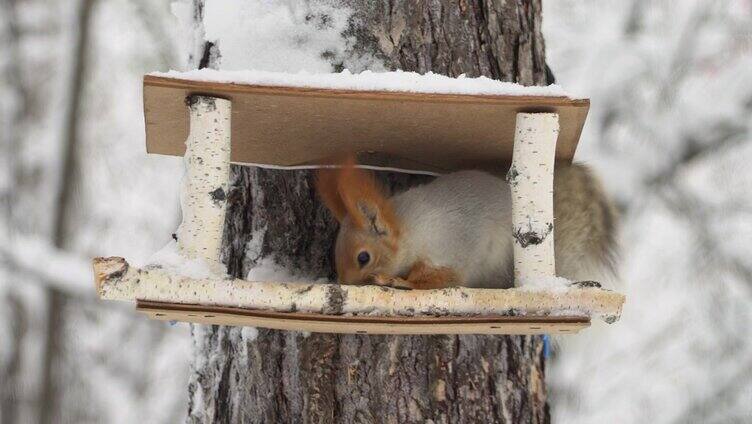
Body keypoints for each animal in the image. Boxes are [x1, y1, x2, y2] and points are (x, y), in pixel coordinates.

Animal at [316, 157, 616, 290]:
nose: (346, 284)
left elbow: (441, 278)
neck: (415, 228)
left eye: (363, 258)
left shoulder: (456, 243)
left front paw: (397, 280)